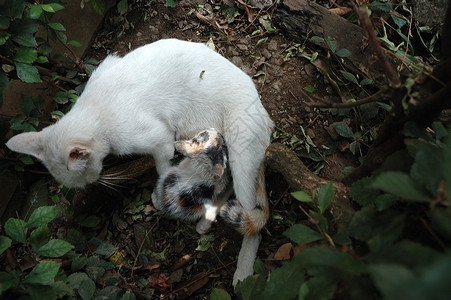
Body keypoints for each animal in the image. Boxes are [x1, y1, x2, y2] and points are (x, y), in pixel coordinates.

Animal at [6, 39, 276, 286]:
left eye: (87, 176)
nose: (92, 184)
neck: (94, 110)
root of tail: (265, 114)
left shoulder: (162, 139)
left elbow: (164, 169)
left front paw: (160, 196)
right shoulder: (108, 63)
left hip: (241, 152)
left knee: (254, 221)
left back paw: (242, 273)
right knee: (224, 181)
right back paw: (206, 220)